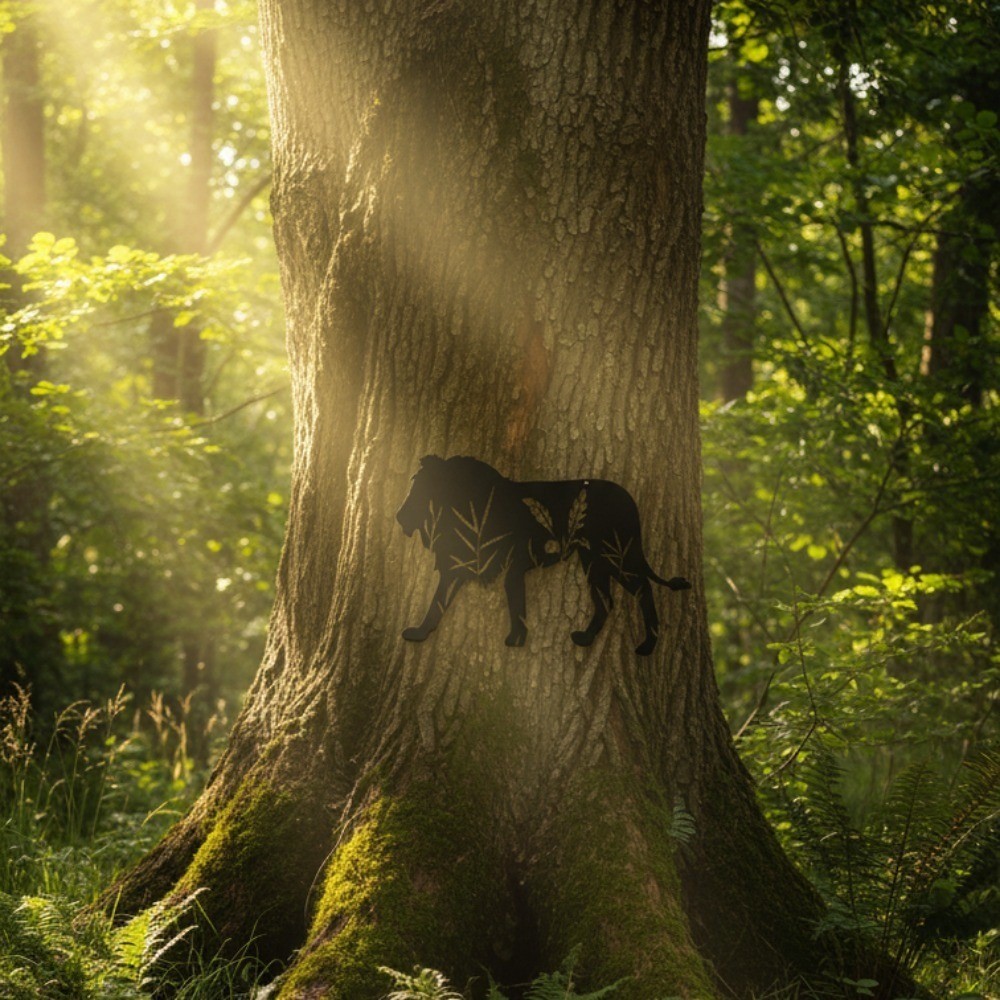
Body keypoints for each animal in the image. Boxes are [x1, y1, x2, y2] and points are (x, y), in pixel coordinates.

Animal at [396, 455, 690, 656]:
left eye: (419, 490)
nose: (399, 516)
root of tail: (629, 499)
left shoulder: (511, 560)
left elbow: (510, 598)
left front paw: (515, 639)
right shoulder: (466, 562)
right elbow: (441, 599)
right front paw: (420, 633)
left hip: (615, 555)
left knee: (643, 588)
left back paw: (648, 646)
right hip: (593, 561)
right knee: (606, 600)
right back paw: (585, 638)